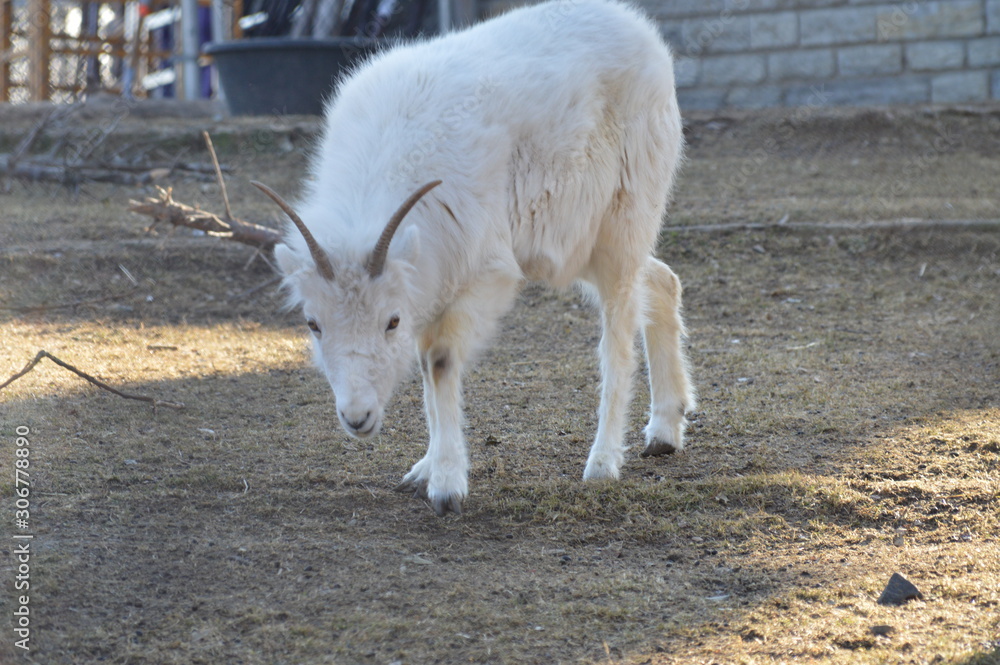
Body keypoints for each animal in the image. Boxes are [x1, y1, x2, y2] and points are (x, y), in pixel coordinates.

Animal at [254, 0, 694, 516]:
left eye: (391, 321)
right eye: (313, 324)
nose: (357, 417)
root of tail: (647, 39)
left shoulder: (483, 277)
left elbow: (440, 362)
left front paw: (446, 488)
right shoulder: (430, 283)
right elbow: (426, 372)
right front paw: (422, 471)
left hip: (619, 232)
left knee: (619, 338)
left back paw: (603, 464)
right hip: (580, 248)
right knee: (663, 282)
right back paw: (664, 433)